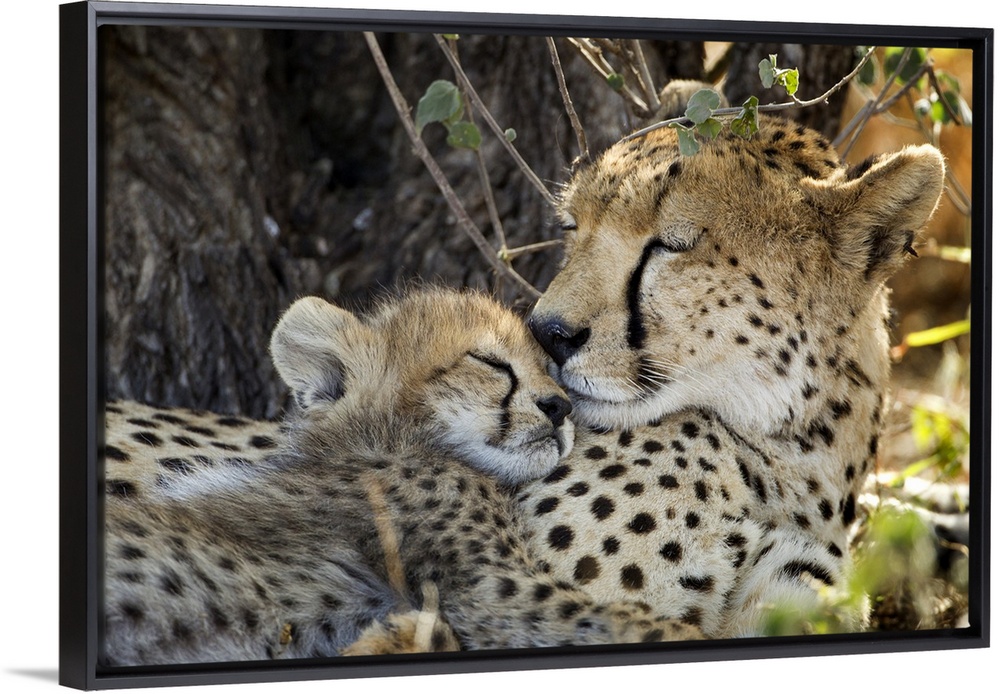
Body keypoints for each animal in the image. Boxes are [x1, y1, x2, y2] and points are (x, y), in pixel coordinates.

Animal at [102, 287, 698, 667]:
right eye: (491, 363)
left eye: (550, 370)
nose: (560, 407)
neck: (390, 442)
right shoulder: (498, 592)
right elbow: (642, 623)